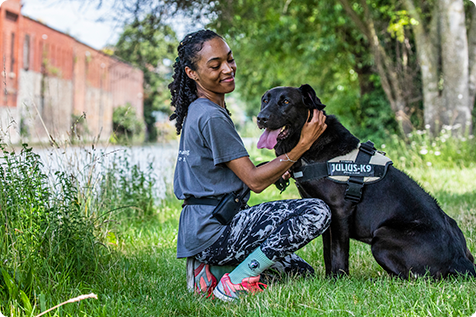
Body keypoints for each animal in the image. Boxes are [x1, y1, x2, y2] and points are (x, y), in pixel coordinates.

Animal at [256, 83, 476, 276]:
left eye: (285, 101)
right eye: (264, 100)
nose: (261, 118)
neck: (311, 147)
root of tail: (460, 260)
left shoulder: (339, 211)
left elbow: (338, 253)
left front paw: (337, 280)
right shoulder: (325, 214)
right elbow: (328, 253)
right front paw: (327, 279)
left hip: (382, 238)